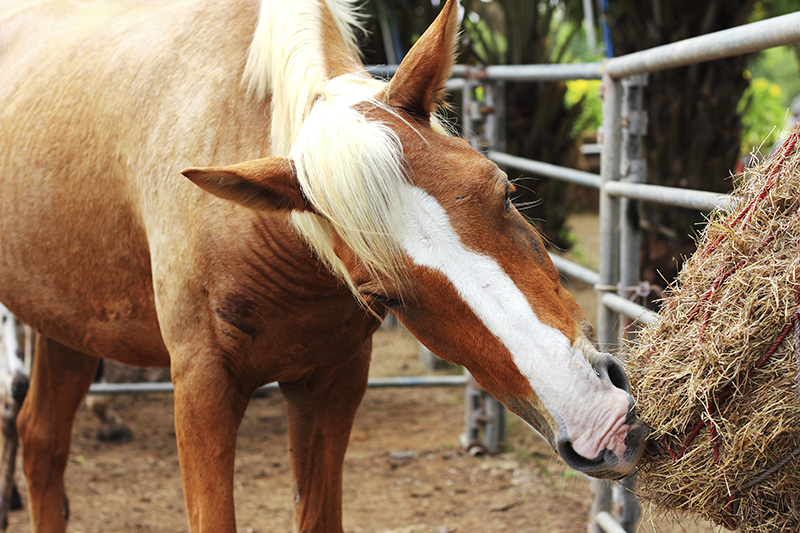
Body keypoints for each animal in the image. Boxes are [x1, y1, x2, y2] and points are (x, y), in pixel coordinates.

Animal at [0, 0, 648, 528]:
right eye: (383, 292)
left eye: (505, 192)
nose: (601, 421)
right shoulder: (202, 390)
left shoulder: (332, 385)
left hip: (69, 329)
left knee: (41, 443)